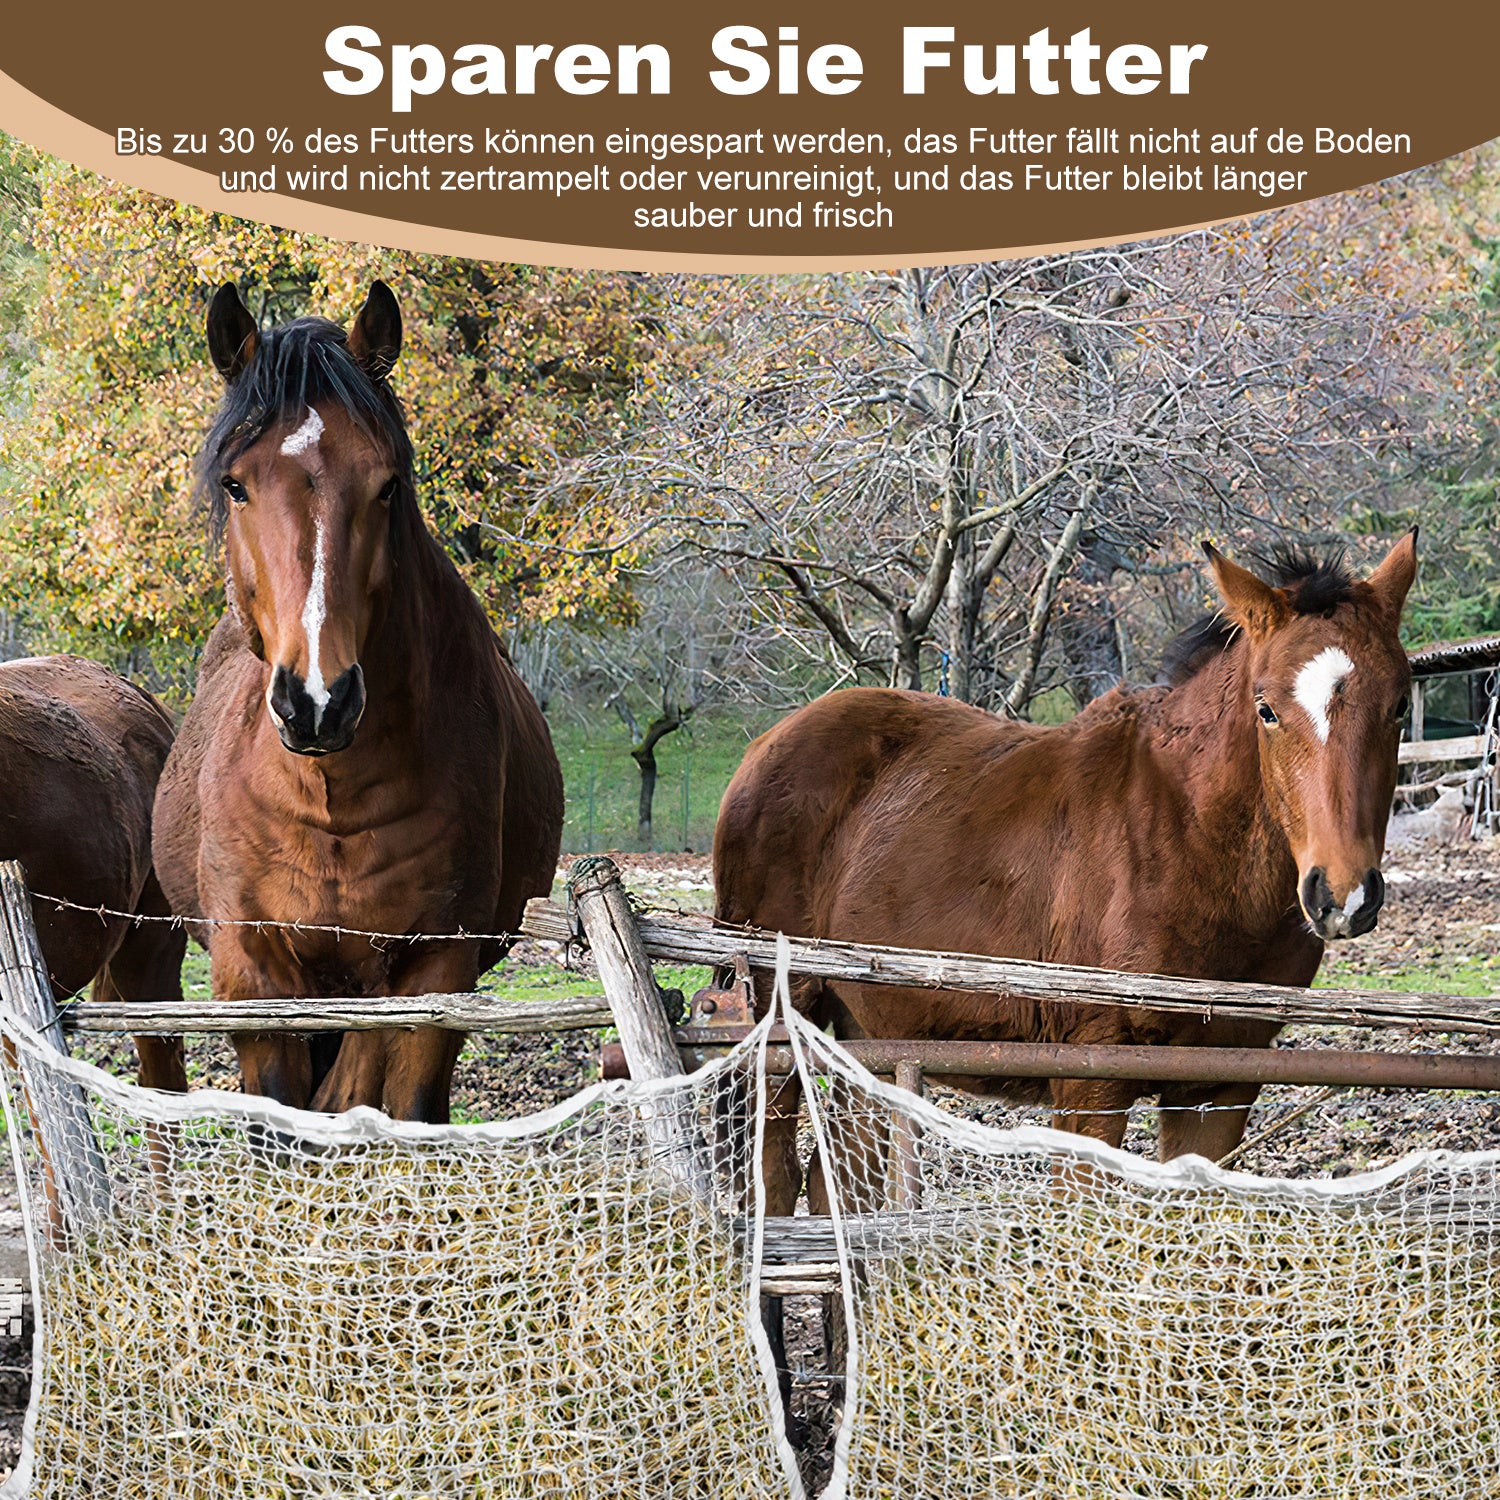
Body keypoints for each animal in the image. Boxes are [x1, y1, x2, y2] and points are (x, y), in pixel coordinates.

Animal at [154, 281, 564, 1122]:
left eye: (387, 485)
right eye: (236, 484)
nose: (319, 699)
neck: (333, 803)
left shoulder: (432, 977)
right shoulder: (255, 981)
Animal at [715, 534, 1417, 1212]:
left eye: (1400, 707)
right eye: (1266, 709)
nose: (1342, 893)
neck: (1186, 839)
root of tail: (762, 749)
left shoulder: (1218, 1088)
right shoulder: (1091, 1081)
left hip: (867, 1034)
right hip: (780, 1029)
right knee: (774, 1179)